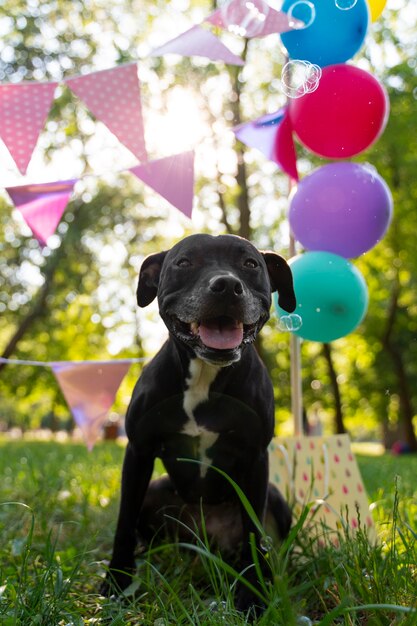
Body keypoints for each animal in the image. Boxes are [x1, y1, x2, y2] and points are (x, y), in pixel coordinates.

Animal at [103, 233, 296, 608]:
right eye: (184, 262)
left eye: (250, 264)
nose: (226, 286)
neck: (205, 374)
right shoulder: (138, 452)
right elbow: (123, 521)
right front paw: (117, 582)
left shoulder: (256, 459)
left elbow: (254, 533)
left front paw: (253, 596)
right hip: (156, 491)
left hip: (277, 499)